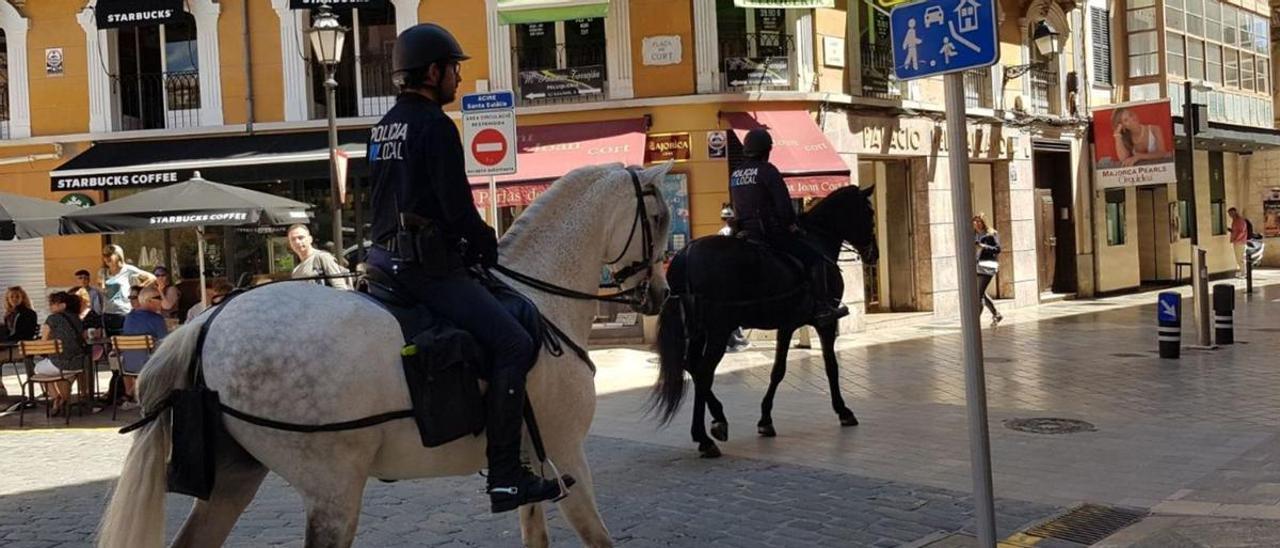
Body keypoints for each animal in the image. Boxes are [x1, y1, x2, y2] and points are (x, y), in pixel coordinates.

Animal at [97, 163, 680, 548]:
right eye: (660, 215)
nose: (660, 293)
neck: (539, 298)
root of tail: (209, 322)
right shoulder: (566, 454)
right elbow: (597, 537)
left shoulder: (534, 461)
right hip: (333, 490)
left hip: (235, 478)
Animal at [655, 185, 875, 458]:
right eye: (870, 213)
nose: (874, 254)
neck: (817, 240)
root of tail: (686, 254)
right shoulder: (825, 322)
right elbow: (831, 366)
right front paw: (844, 411)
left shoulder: (787, 324)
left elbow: (777, 370)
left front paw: (765, 420)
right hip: (718, 330)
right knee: (704, 372)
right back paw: (705, 437)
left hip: (698, 331)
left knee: (692, 367)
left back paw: (718, 419)